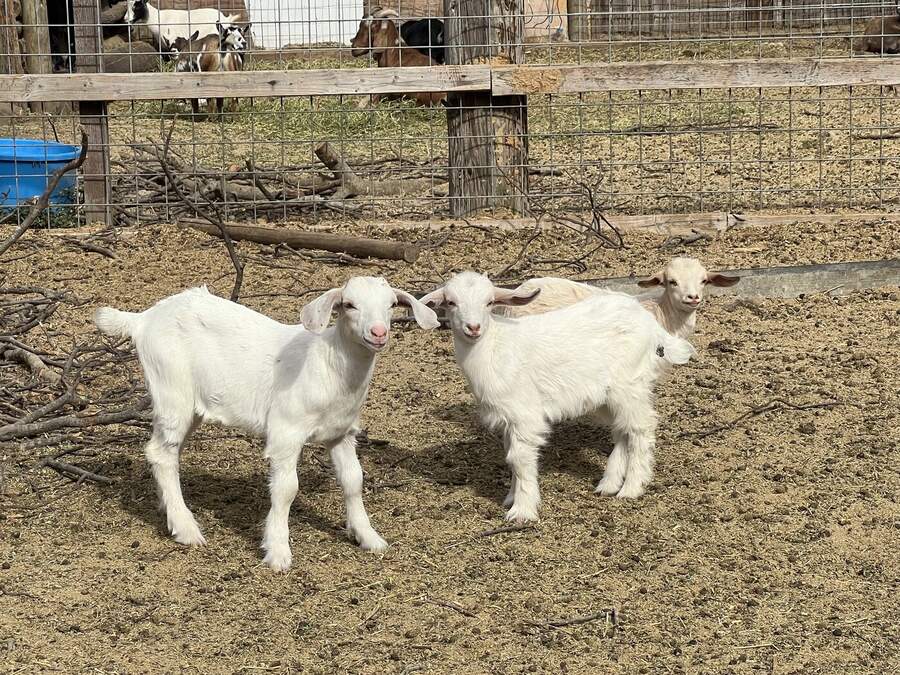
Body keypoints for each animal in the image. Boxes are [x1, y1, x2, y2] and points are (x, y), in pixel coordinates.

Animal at [94, 279, 439, 571]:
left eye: (391, 305)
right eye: (350, 305)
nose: (378, 332)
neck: (329, 365)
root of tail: (143, 319)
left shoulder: (342, 433)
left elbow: (353, 480)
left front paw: (369, 537)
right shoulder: (286, 431)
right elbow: (287, 489)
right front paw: (278, 552)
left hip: (191, 406)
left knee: (164, 452)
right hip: (171, 389)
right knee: (161, 452)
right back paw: (186, 528)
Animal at [420, 272, 694, 522]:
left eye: (489, 302)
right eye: (451, 302)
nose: (473, 328)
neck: (495, 348)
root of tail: (649, 323)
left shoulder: (524, 415)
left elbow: (519, 459)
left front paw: (522, 511)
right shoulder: (507, 418)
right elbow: (511, 457)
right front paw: (511, 497)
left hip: (630, 385)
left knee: (640, 429)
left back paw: (632, 487)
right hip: (607, 396)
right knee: (622, 430)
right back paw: (609, 484)